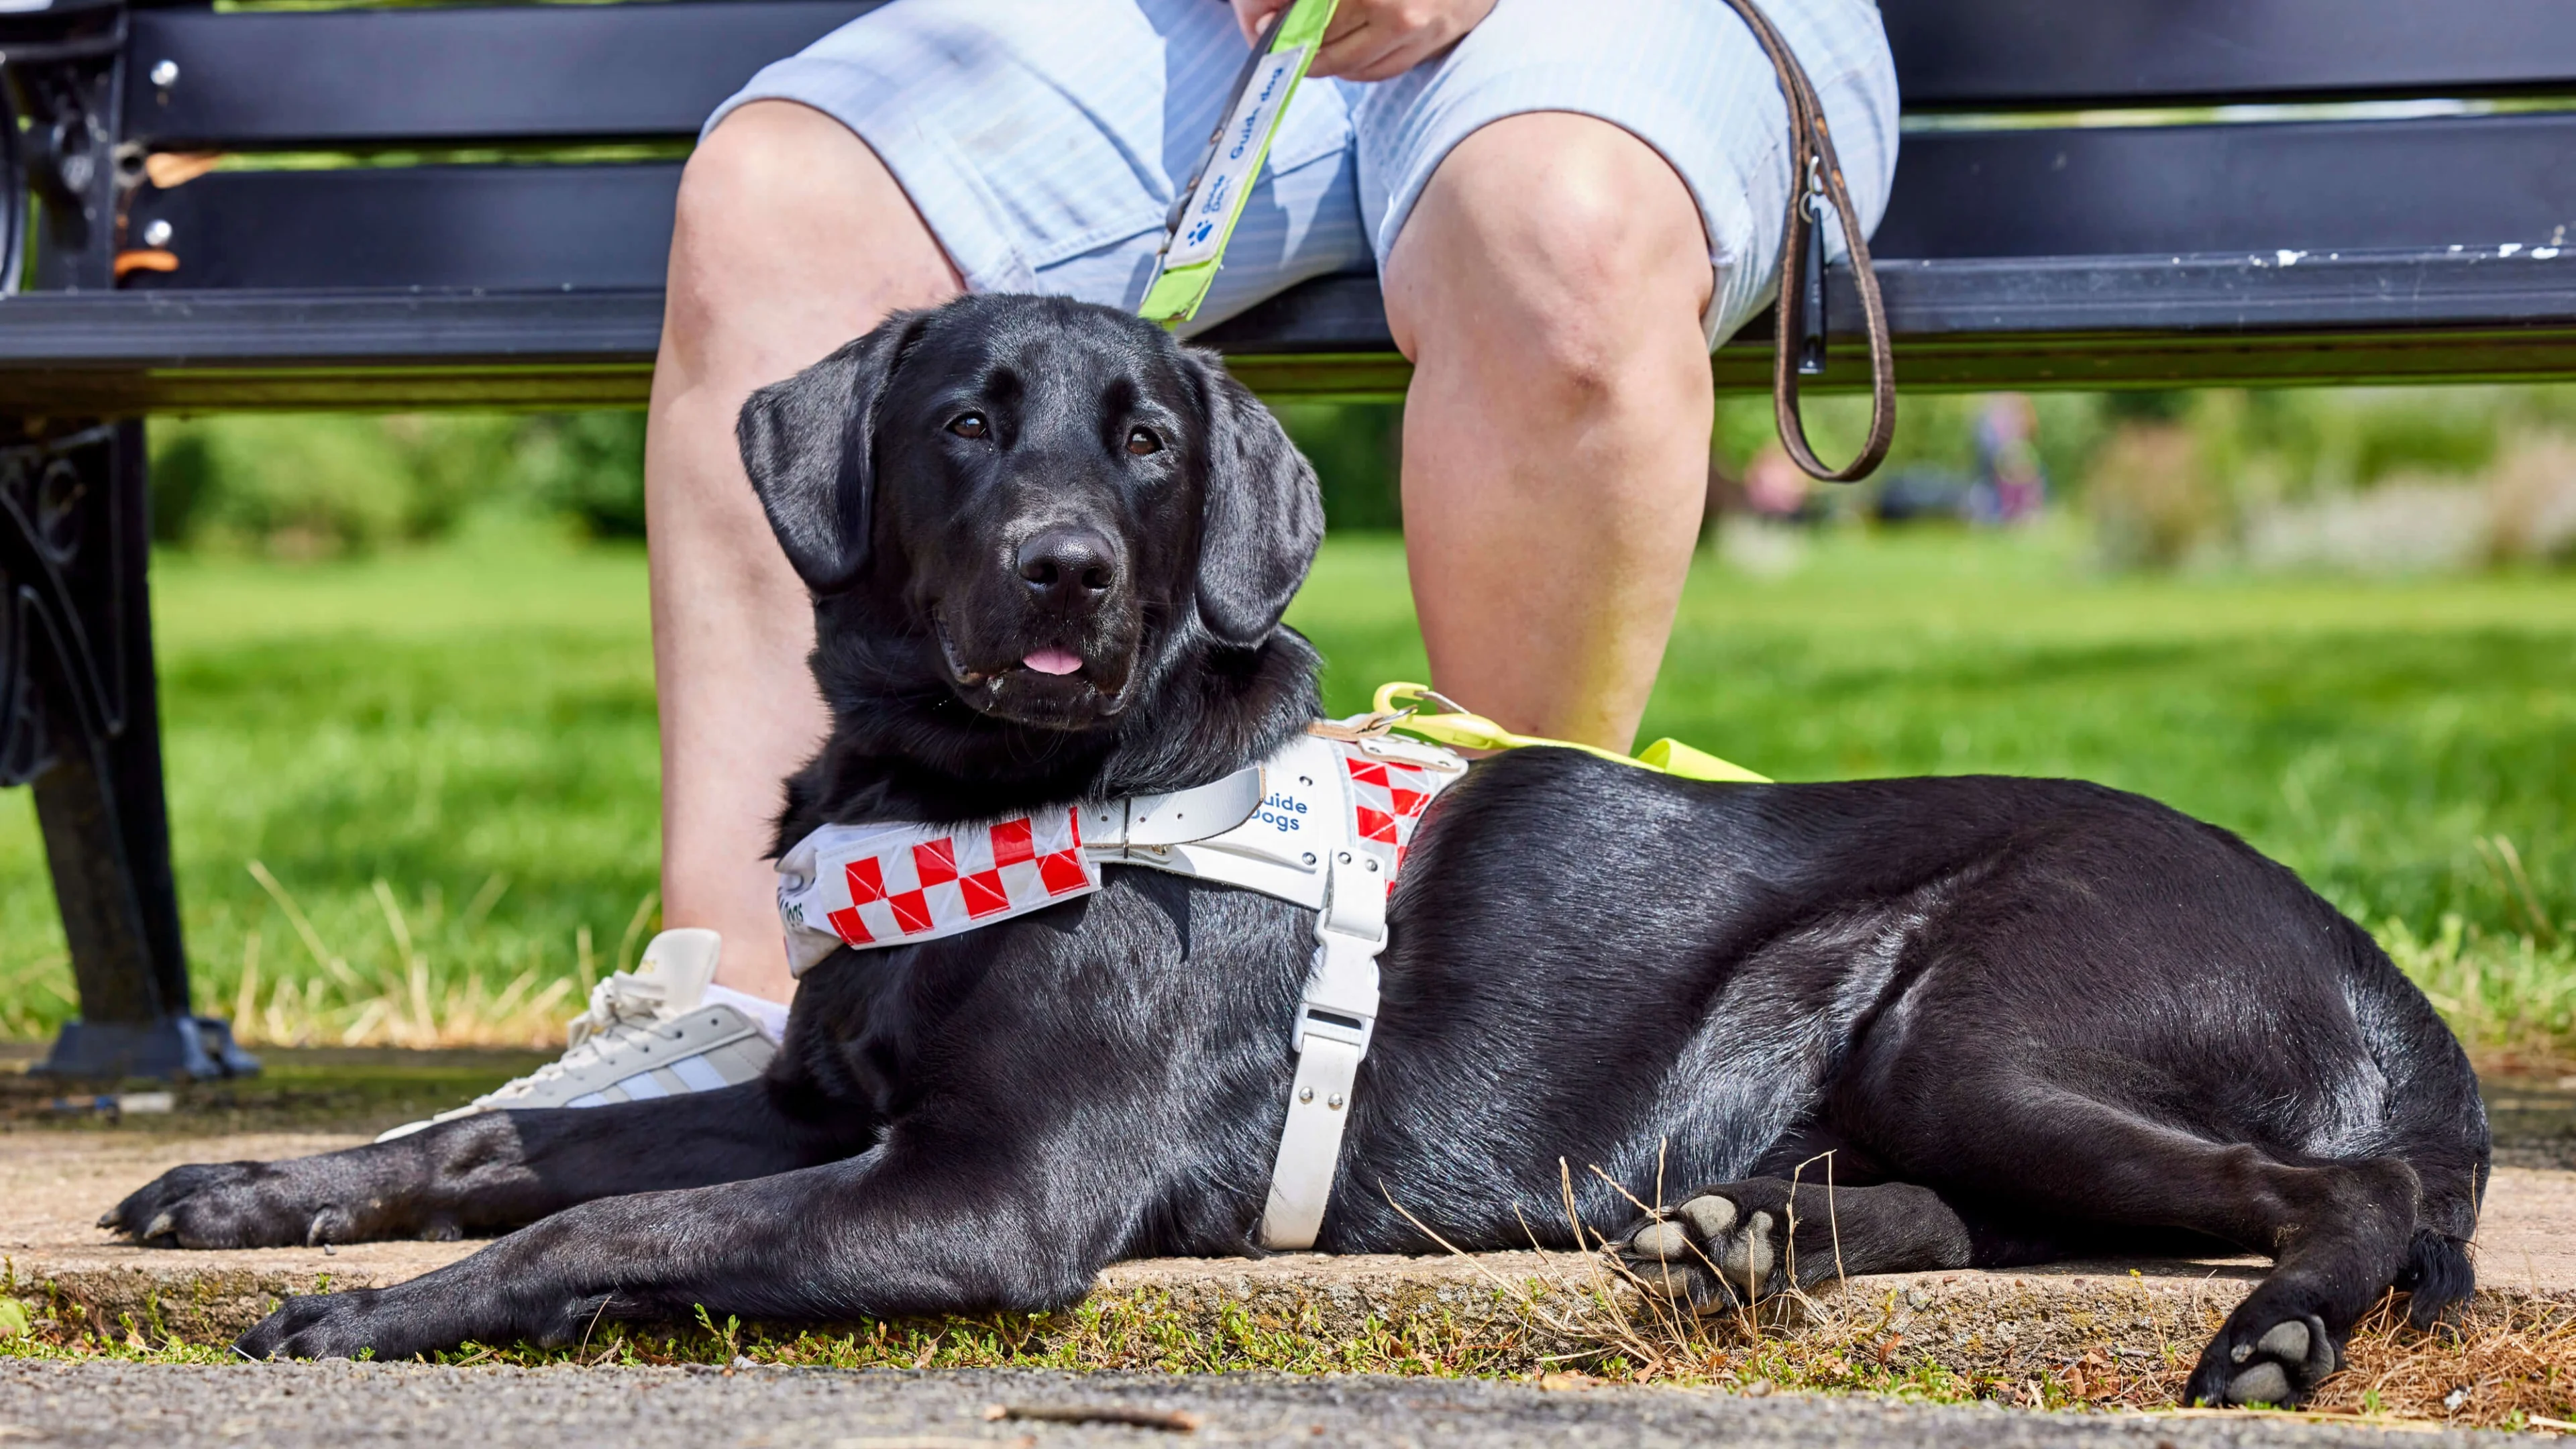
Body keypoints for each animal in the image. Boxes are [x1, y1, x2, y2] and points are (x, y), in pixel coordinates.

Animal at [111, 290, 2483, 1402]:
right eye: (964, 423)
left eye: (1150, 443)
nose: (1068, 575)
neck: (974, 787)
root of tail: (2403, 1000)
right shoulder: (816, 1105)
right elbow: (498, 1147)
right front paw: (256, 1195)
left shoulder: (990, 1194)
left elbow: (600, 1230)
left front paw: (364, 1321)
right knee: (1979, 1214)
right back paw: (1743, 1240)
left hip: (1978, 1017)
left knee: (2333, 1198)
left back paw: (2275, 1338)